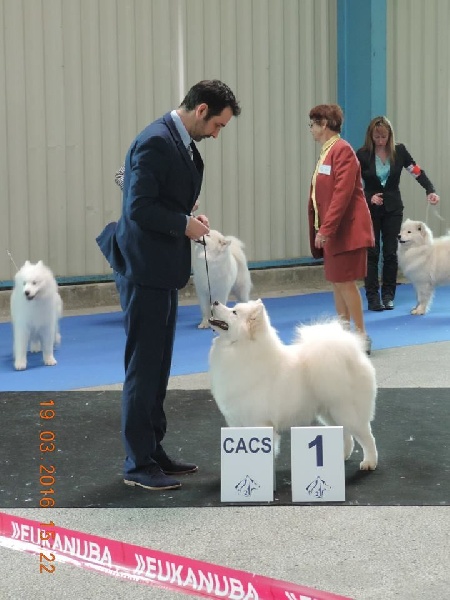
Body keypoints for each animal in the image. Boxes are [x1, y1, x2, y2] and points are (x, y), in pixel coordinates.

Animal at [208, 299, 378, 470]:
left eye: (234, 312)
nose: (215, 301)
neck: (240, 348)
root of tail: (355, 355)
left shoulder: (260, 422)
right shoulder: (237, 421)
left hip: (347, 411)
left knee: (366, 436)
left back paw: (369, 462)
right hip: (330, 411)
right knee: (346, 434)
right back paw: (341, 456)